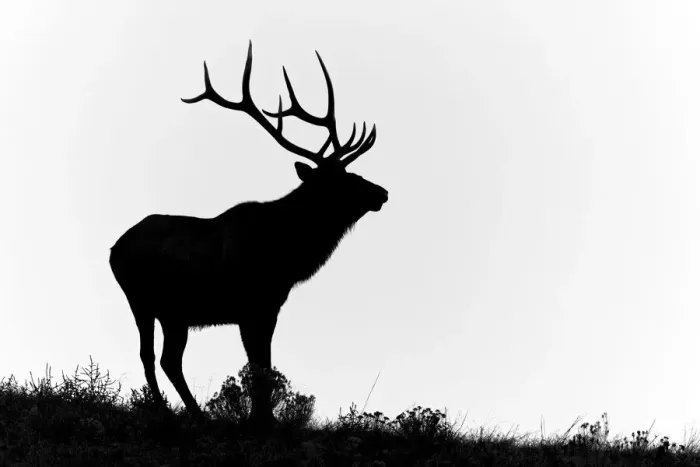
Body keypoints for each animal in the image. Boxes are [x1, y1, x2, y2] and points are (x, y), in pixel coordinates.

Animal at [109, 41, 388, 430]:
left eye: (352, 172)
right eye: (338, 180)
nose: (381, 192)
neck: (288, 253)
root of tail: (112, 250)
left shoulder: (270, 304)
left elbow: (264, 362)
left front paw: (264, 417)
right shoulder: (249, 303)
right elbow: (258, 365)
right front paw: (261, 419)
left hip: (174, 313)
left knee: (167, 359)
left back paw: (193, 413)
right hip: (142, 299)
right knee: (152, 356)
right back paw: (172, 412)